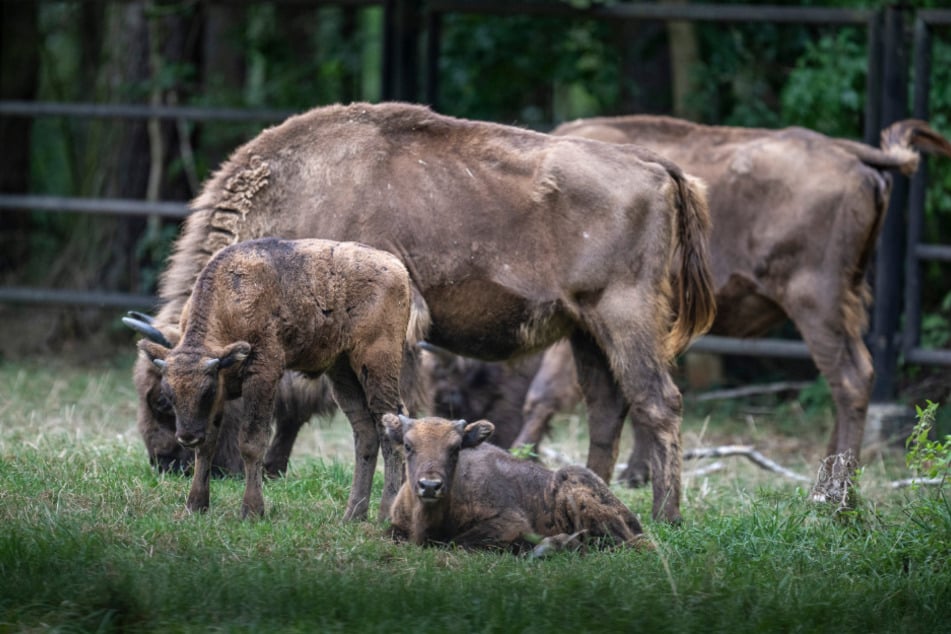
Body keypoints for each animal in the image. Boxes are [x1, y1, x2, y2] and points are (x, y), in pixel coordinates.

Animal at [138, 237, 412, 520]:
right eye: (169, 395)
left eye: (206, 391)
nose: (187, 436)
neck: (229, 298)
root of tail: (397, 268)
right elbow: (207, 446)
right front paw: (195, 506)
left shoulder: (263, 374)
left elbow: (251, 441)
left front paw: (252, 510)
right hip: (343, 372)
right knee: (365, 432)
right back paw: (353, 515)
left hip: (377, 365)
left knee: (389, 424)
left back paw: (385, 513)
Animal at [510, 117, 951, 484]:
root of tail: (849, 152)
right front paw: (637, 473)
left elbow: (545, 392)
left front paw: (518, 455)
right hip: (848, 297)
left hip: (816, 304)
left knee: (851, 378)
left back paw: (831, 488)